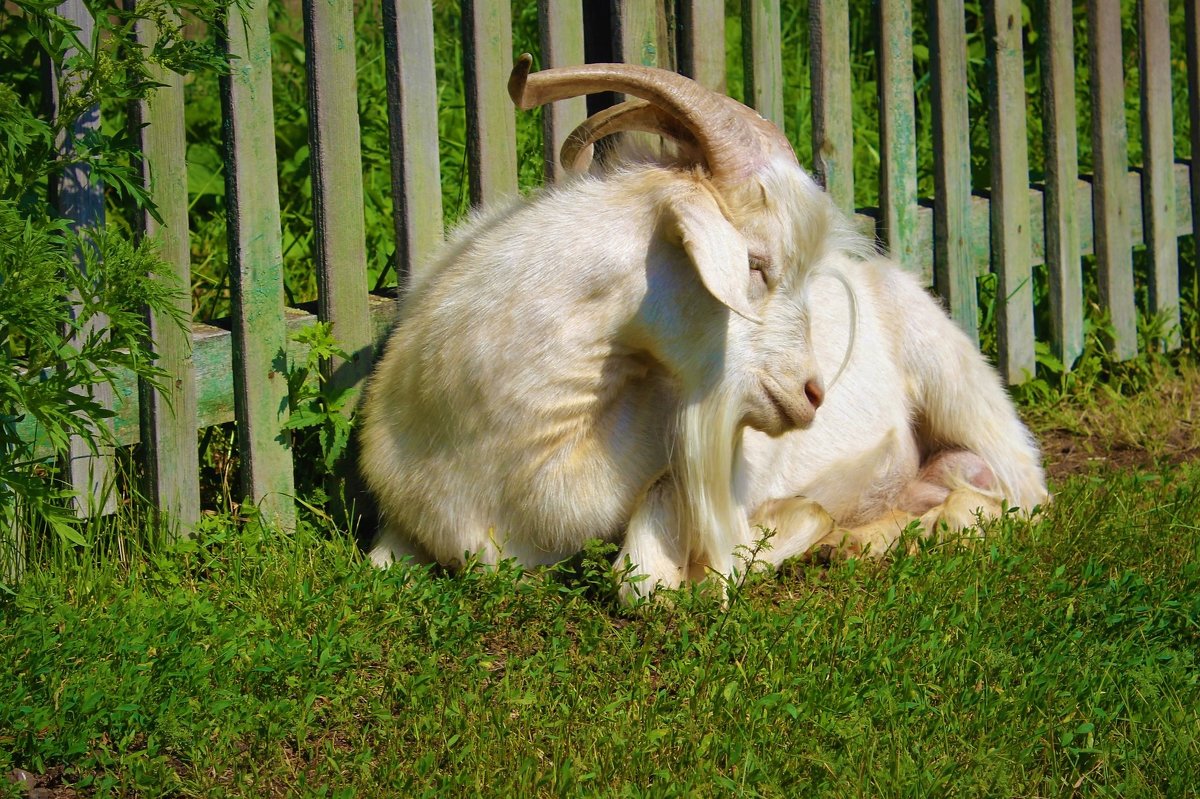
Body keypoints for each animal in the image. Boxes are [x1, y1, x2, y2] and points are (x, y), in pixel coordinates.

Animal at [357, 57, 1051, 597]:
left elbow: (644, 582)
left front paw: (783, 528)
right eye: (756, 263)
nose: (812, 394)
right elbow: (377, 566)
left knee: (1021, 498)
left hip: (961, 385)